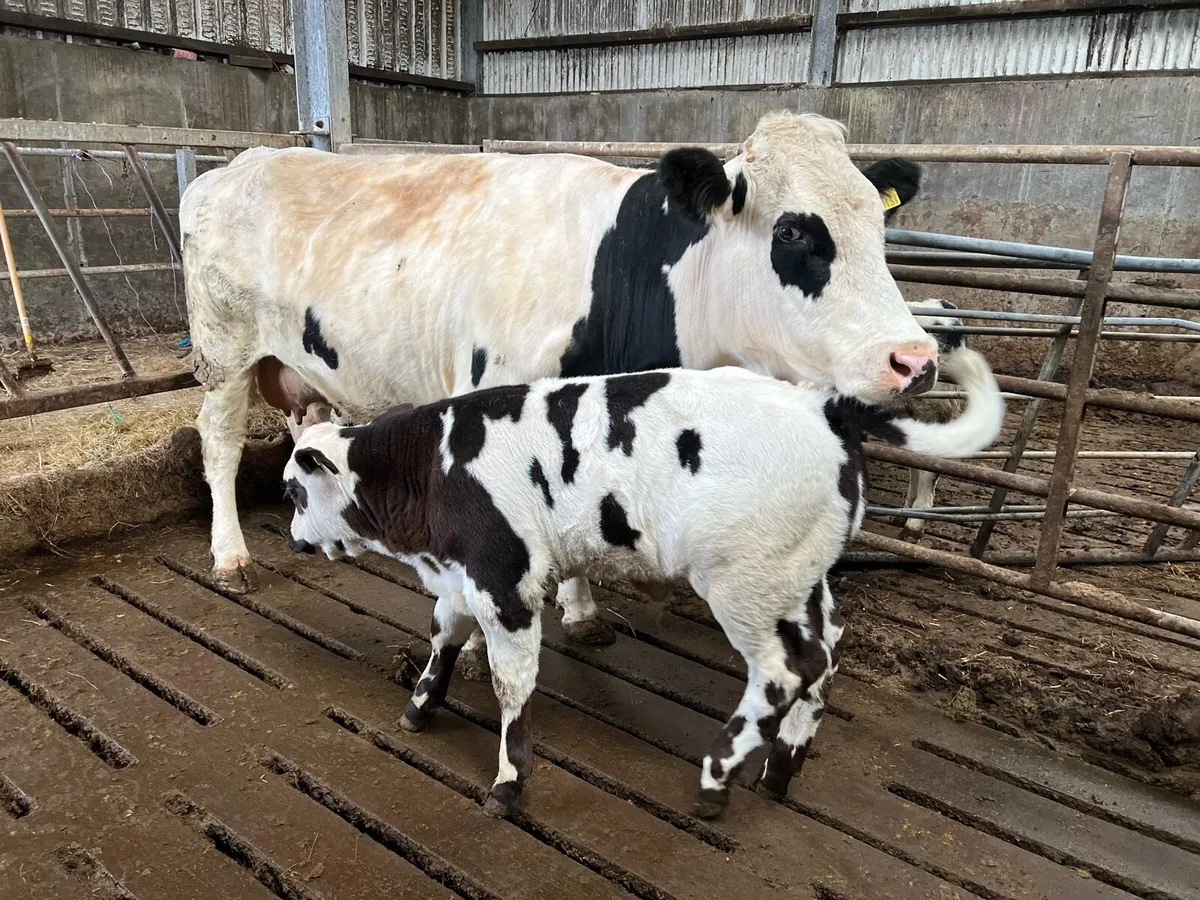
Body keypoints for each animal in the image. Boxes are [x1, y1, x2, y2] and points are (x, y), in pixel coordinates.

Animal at [181, 111, 940, 677]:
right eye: (792, 230)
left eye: (879, 224)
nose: (916, 359)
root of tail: (236, 165)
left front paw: (581, 613)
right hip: (223, 351)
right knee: (218, 444)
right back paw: (230, 557)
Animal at [280, 344, 1004, 820]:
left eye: (292, 489)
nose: (292, 538)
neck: (434, 468)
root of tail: (823, 405)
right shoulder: (464, 578)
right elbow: (442, 637)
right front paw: (419, 708)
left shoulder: (506, 579)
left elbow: (510, 681)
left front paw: (509, 783)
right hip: (801, 577)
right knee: (824, 655)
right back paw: (779, 770)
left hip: (746, 581)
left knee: (786, 668)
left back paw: (716, 780)